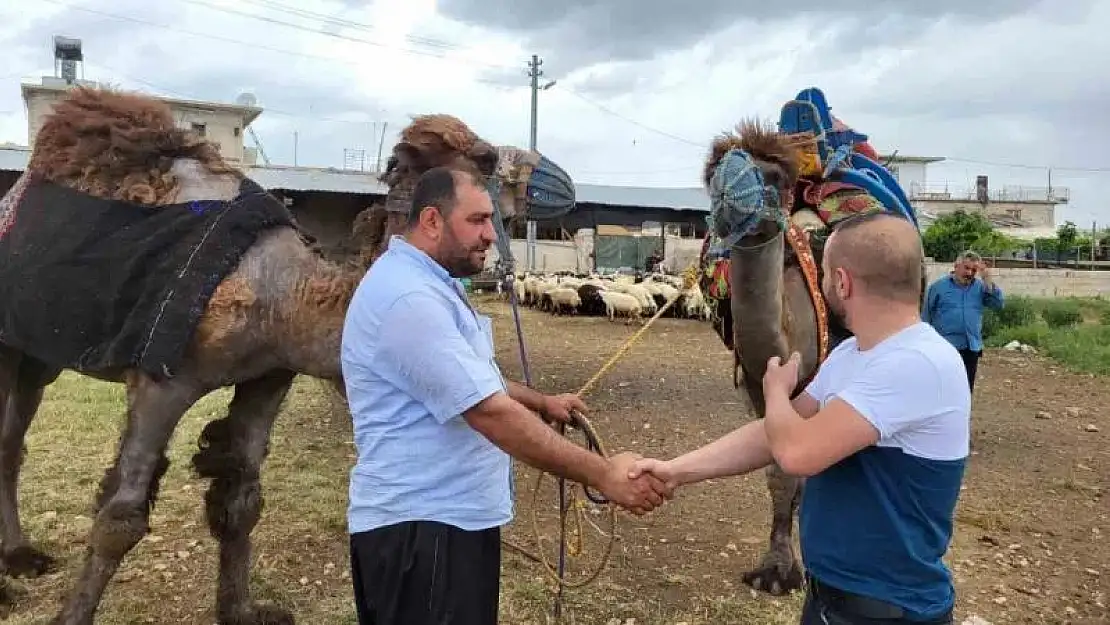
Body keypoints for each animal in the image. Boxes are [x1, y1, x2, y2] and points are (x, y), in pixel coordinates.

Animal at [0, 86, 559, 625]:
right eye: (486, 158)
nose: (558, 182)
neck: (285, 298)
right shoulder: (163, 381)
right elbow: (121, 515)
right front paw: (72, 616)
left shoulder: (269, 377)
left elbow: (241, 501)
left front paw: (242, 611)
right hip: (10, 344)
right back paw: (12, 578)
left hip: (37, 355)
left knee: (12, 439)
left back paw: (20, 557)